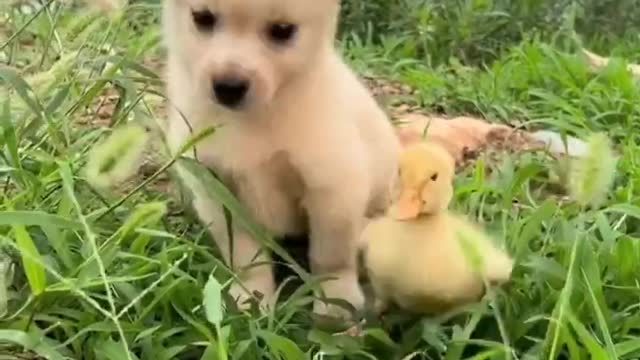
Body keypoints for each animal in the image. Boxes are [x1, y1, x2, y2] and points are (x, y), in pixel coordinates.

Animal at [161, 0, 400, 318]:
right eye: (202, 18)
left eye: (283, 30)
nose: (229, 86)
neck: (251, 120)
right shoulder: (219, 192)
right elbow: (246, 256)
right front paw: (251, 299)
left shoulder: (333, 188)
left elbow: (330, 257)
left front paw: (336, 301)